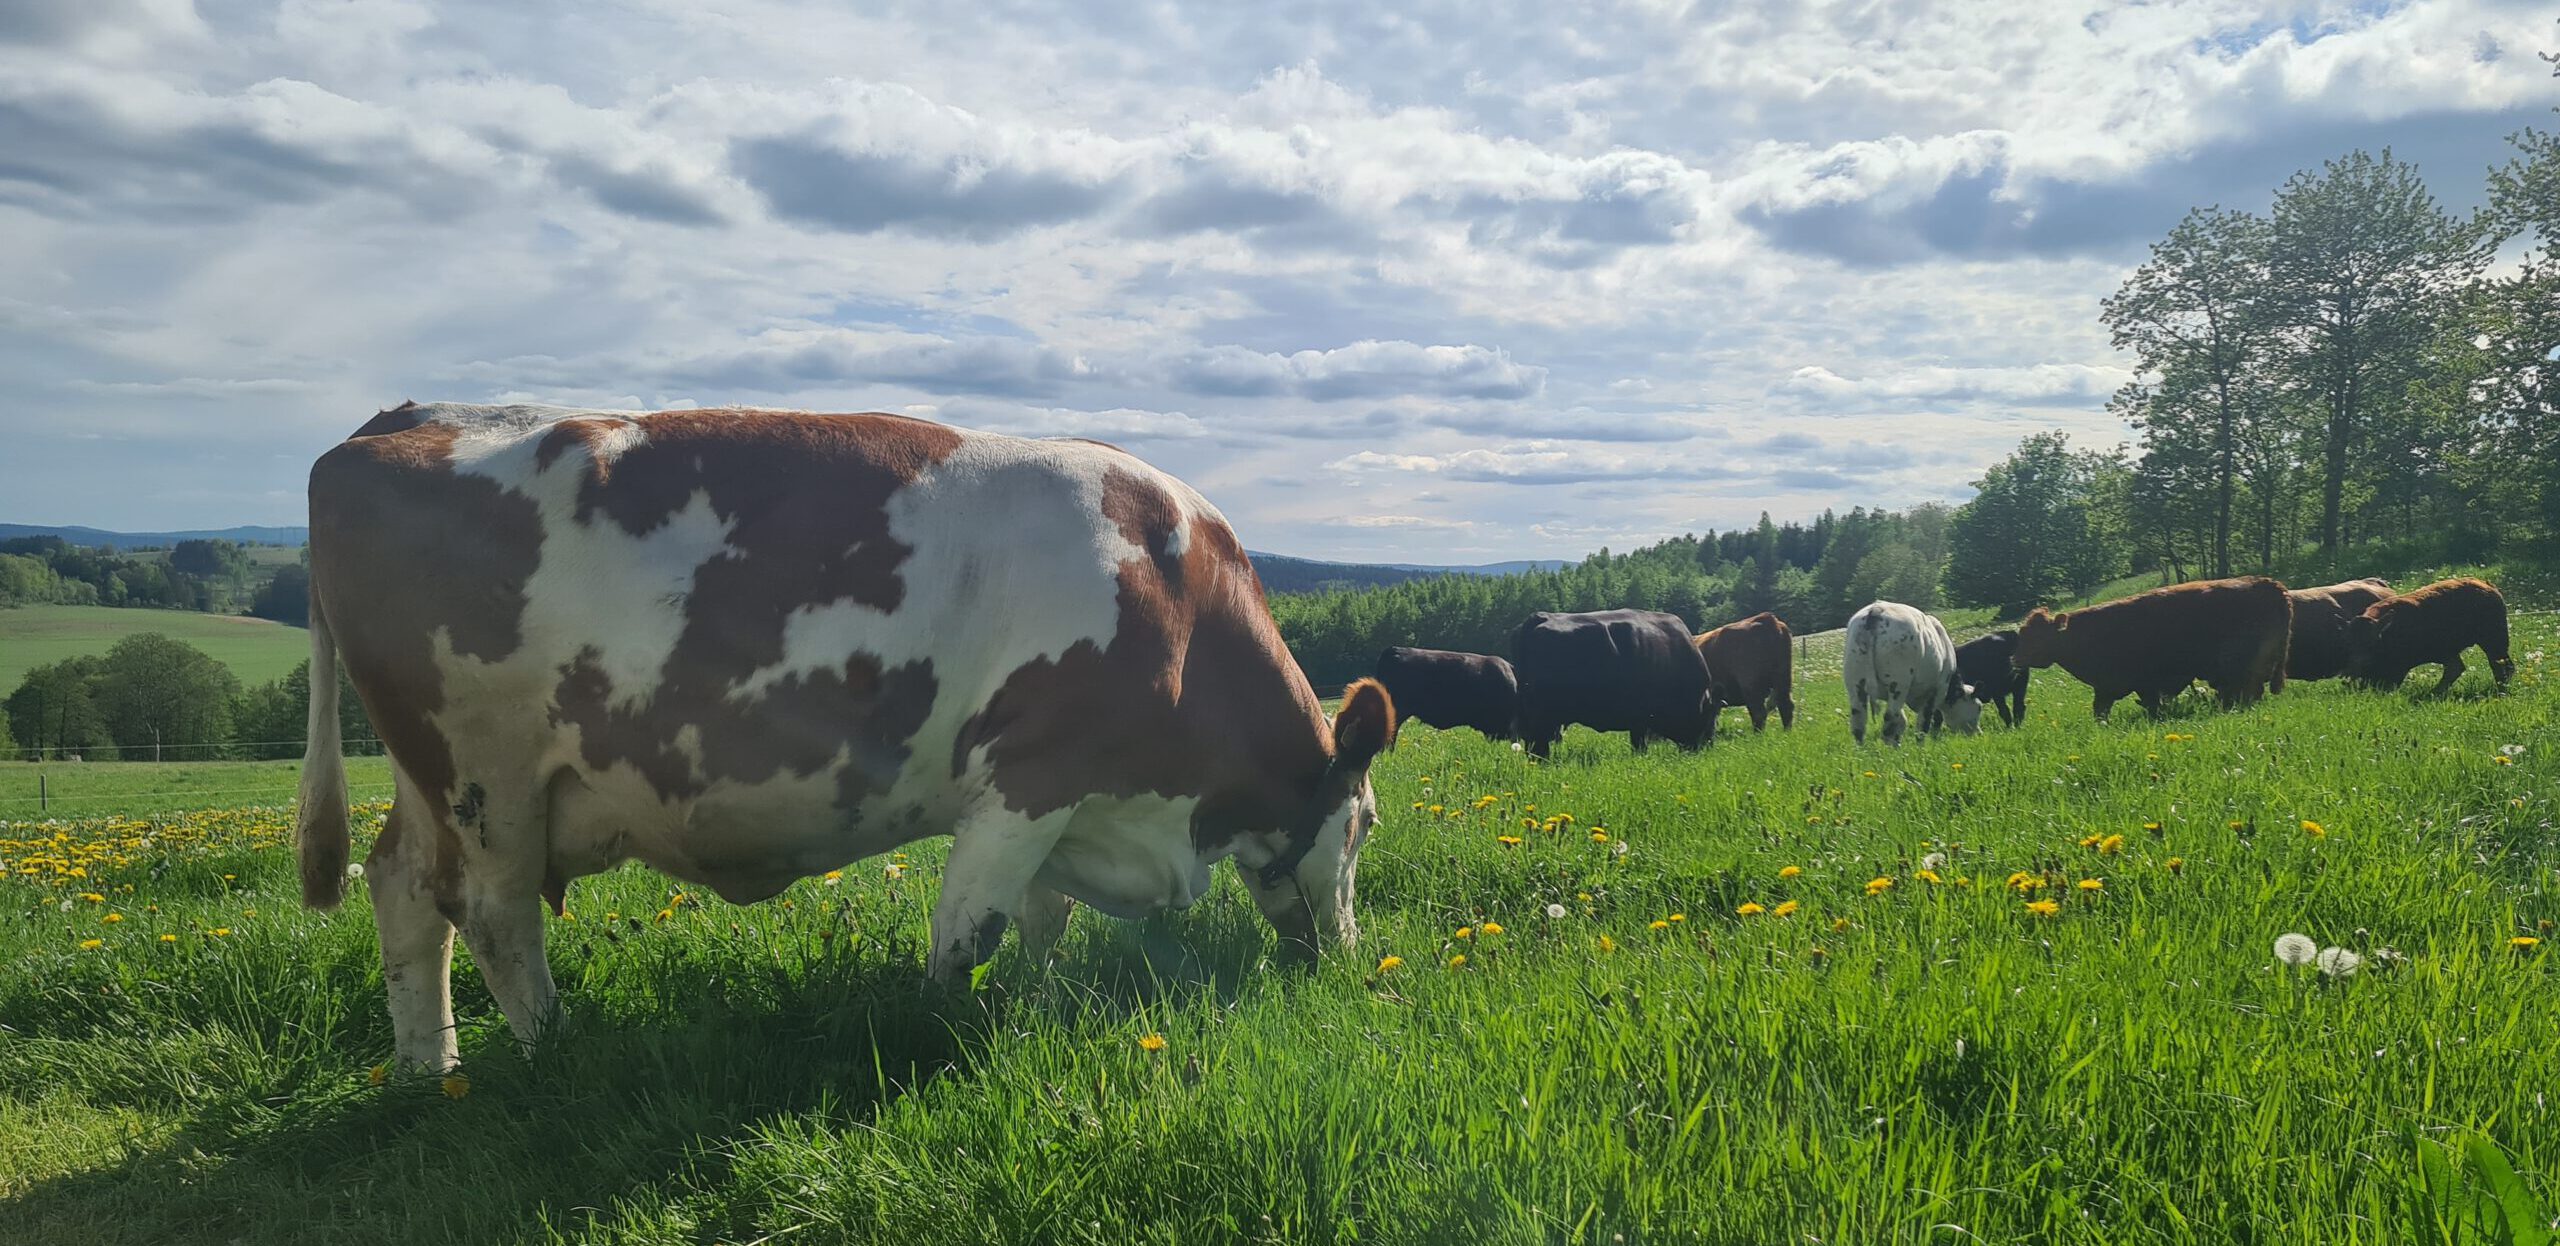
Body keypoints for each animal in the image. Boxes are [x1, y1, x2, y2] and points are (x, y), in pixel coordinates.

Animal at [297, 402, 1397, 1070]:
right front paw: (946, 1027)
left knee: (403, 890)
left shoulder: (1075, 803)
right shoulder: (1029, 776)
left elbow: (1041, 920)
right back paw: (550, 1050)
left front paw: (1036, 1001)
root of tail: (397, 422)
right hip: (484, 774)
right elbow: (970, 930)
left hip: (427, 781)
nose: (1346, 956)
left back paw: (430, 1067)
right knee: (492, 913)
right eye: (1367, 824)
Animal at [1509, 609, 1714, 759]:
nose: (1706, 746)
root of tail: (1541, 617)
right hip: (1543, 716)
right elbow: (1639, 742)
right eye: (1709, 718)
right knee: (1539, 745)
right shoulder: (1641, 717)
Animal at [1841, 602, 1980, 745]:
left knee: (1859, 722)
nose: (1978, 733)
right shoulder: (1936, 690)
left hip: (1855, 682)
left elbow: (1903, 721)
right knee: (1890, 720)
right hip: (1898, 683)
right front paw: (1921, 746)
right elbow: (1925, 722)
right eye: (1979, 707)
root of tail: (1876, 610)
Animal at [2010, 576, 2290, 720]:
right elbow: (2101, 710)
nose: (2015, 658)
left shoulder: (2140, 683)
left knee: (2246, 692)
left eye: (2036, 637)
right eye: (2022, 633)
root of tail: (2265, 582)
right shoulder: (2108, 687)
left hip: (2243, 668)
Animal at [2344, 577, 2515, 694]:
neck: (2386, 632)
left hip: (2493, 642)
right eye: (2350, 644)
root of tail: (2487, 586)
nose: (2351, 676)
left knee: (2502, 666)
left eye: (2372, 644)